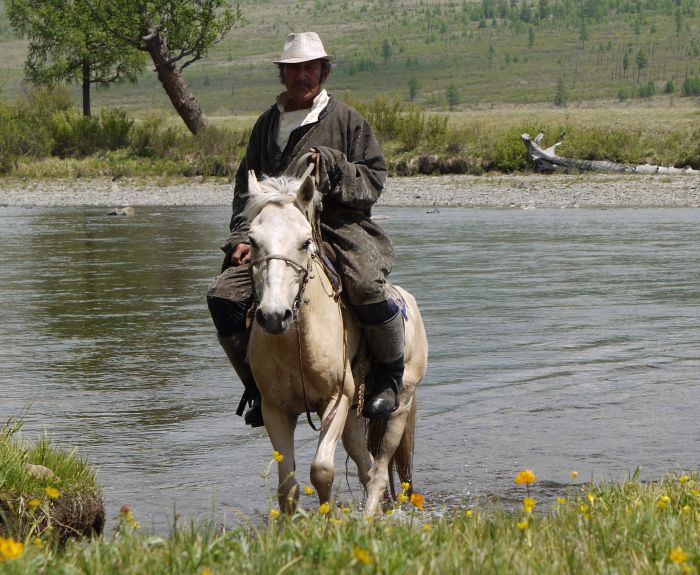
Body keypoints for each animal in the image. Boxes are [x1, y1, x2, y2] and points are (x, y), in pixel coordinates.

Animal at [243, 169, 430, 516]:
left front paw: (328, 521)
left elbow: (321, 471)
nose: (274, 316)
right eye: (252, 240)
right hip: (355, 421)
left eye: (305, 242)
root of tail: (407, 300)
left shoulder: (335, 399)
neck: (296, 340)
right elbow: (287, 487)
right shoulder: (275, 409)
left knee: (379, 471)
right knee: (366, 466)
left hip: (400, 405)